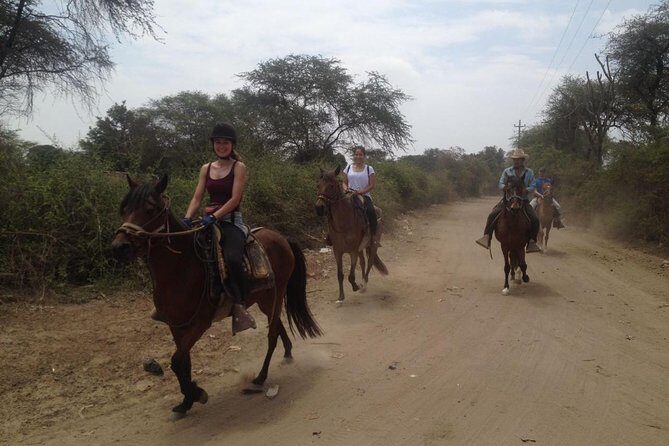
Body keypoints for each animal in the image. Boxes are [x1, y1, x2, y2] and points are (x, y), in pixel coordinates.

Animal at [111, 174, 322, 414]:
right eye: (124, 209)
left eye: (150, 209)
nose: (119, 247)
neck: (182, 266)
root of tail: (282, 238)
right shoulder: (176, 324)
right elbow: (183, 362)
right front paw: (186, 400)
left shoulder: (201, 323)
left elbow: (176, 361)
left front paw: (197, 393)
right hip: (265, 300)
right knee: (276, 325)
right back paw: (287, 353)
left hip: (275, 295)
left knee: (271, 335)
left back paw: (260, 377)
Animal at [315, 166, 388, 303]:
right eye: (318, 185)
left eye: (332, 185)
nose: (319, 208)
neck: (343, 221)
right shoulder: (337, 251)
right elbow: (340, 274)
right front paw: (341, 297)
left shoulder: (353, 250)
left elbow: (351, 275)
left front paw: (356, 286)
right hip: (361, 247)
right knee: (363, 262)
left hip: (373, 245)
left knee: (369, 262)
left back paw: (364, 284)